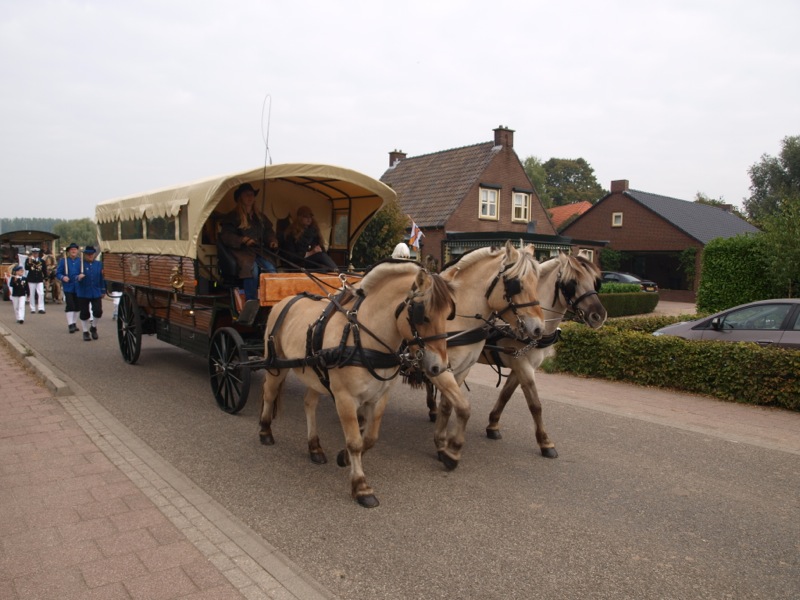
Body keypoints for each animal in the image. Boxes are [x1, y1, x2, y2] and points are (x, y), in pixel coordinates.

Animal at [260, 260, 456, 508]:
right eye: (424, 316)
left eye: (448, 314)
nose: (439, 367)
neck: (363, 338)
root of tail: (283, 302)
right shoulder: (345, 398)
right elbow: (354, 441)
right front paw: (361, 486)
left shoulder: (379, 397)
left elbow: (369, 438)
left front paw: (344, 457)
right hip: (276, 365)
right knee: (269, 393)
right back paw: (265, 430)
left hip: (315, 375)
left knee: (309, 404)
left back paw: (314, 446)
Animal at [422, 240, 548, 468]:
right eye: (516, 284)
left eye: (537, 282)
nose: (538, 329)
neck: (456, 317)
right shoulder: (438, 369)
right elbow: (461, 406)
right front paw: (452, 448)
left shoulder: (462, 368)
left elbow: (448, 405)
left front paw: (442, 444)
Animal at [482, 251, 608, 458]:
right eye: (571, 283)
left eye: (595, 281)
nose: (599, 315)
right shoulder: (523, 366)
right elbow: (535, 405)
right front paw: (545, 442)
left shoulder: (522, 366)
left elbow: (506, 395)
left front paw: (493, 425)